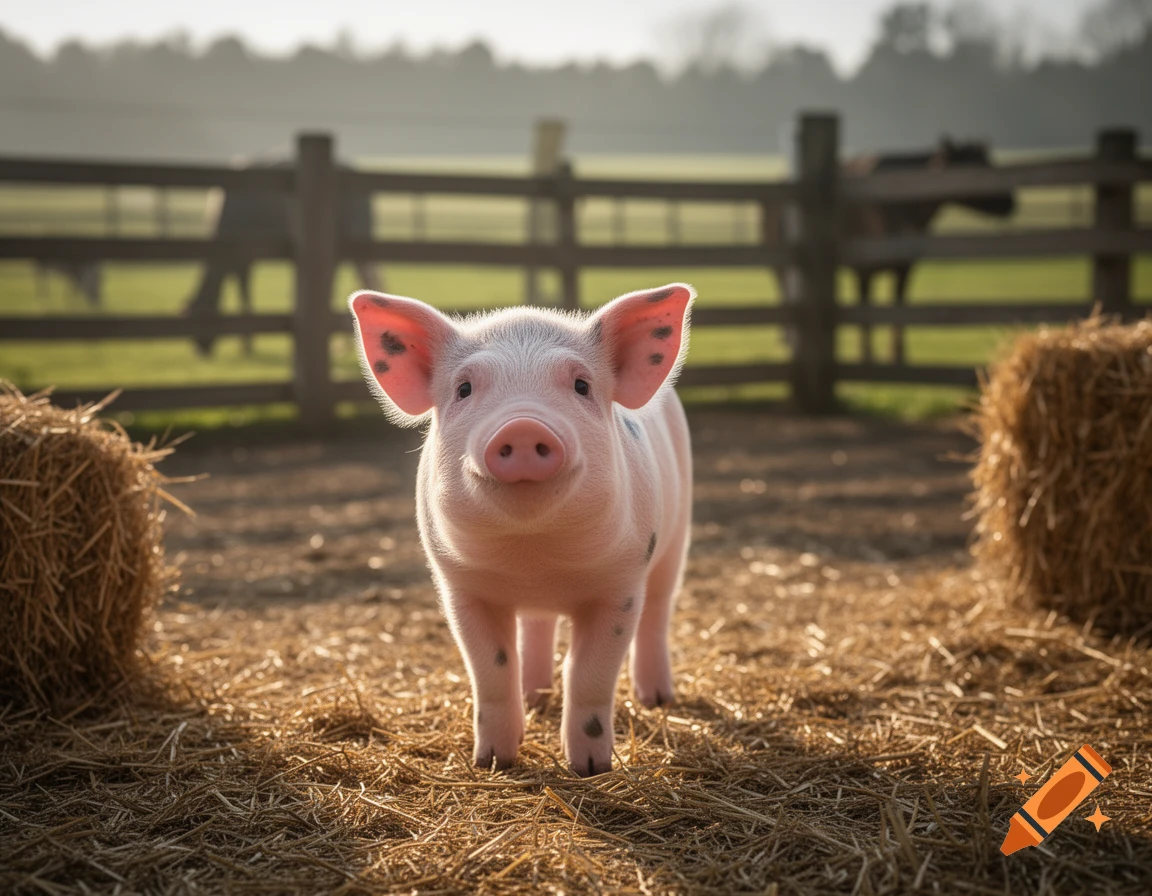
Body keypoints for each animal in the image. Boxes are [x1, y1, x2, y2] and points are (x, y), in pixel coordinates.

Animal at [348, 283, 694, 776]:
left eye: (582, 385)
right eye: (464, 388)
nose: (524, 426)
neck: (533, 558)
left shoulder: (621, 586)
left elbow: (589, 673)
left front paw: (591, 769)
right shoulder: (461, 586)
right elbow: (491, 669)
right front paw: (493, 762)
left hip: (675, 537)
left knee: (659, 610)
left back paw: (657, 699)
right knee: (536, 625)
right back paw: (534, 695)